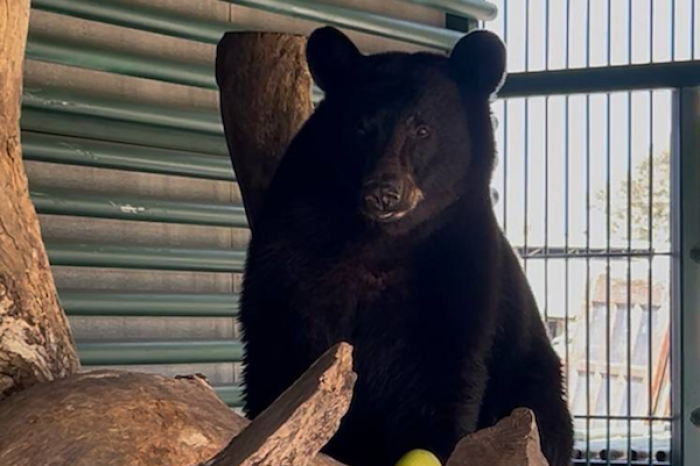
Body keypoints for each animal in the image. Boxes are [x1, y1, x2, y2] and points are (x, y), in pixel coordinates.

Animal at [239, 26, 573, 466]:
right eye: (361, 127)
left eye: (423, 129)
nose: (383, 193)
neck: (379, 243)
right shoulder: (291, 246)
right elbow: (277, 351)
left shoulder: (458, 268)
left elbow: (439, 378)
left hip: (532, 376)